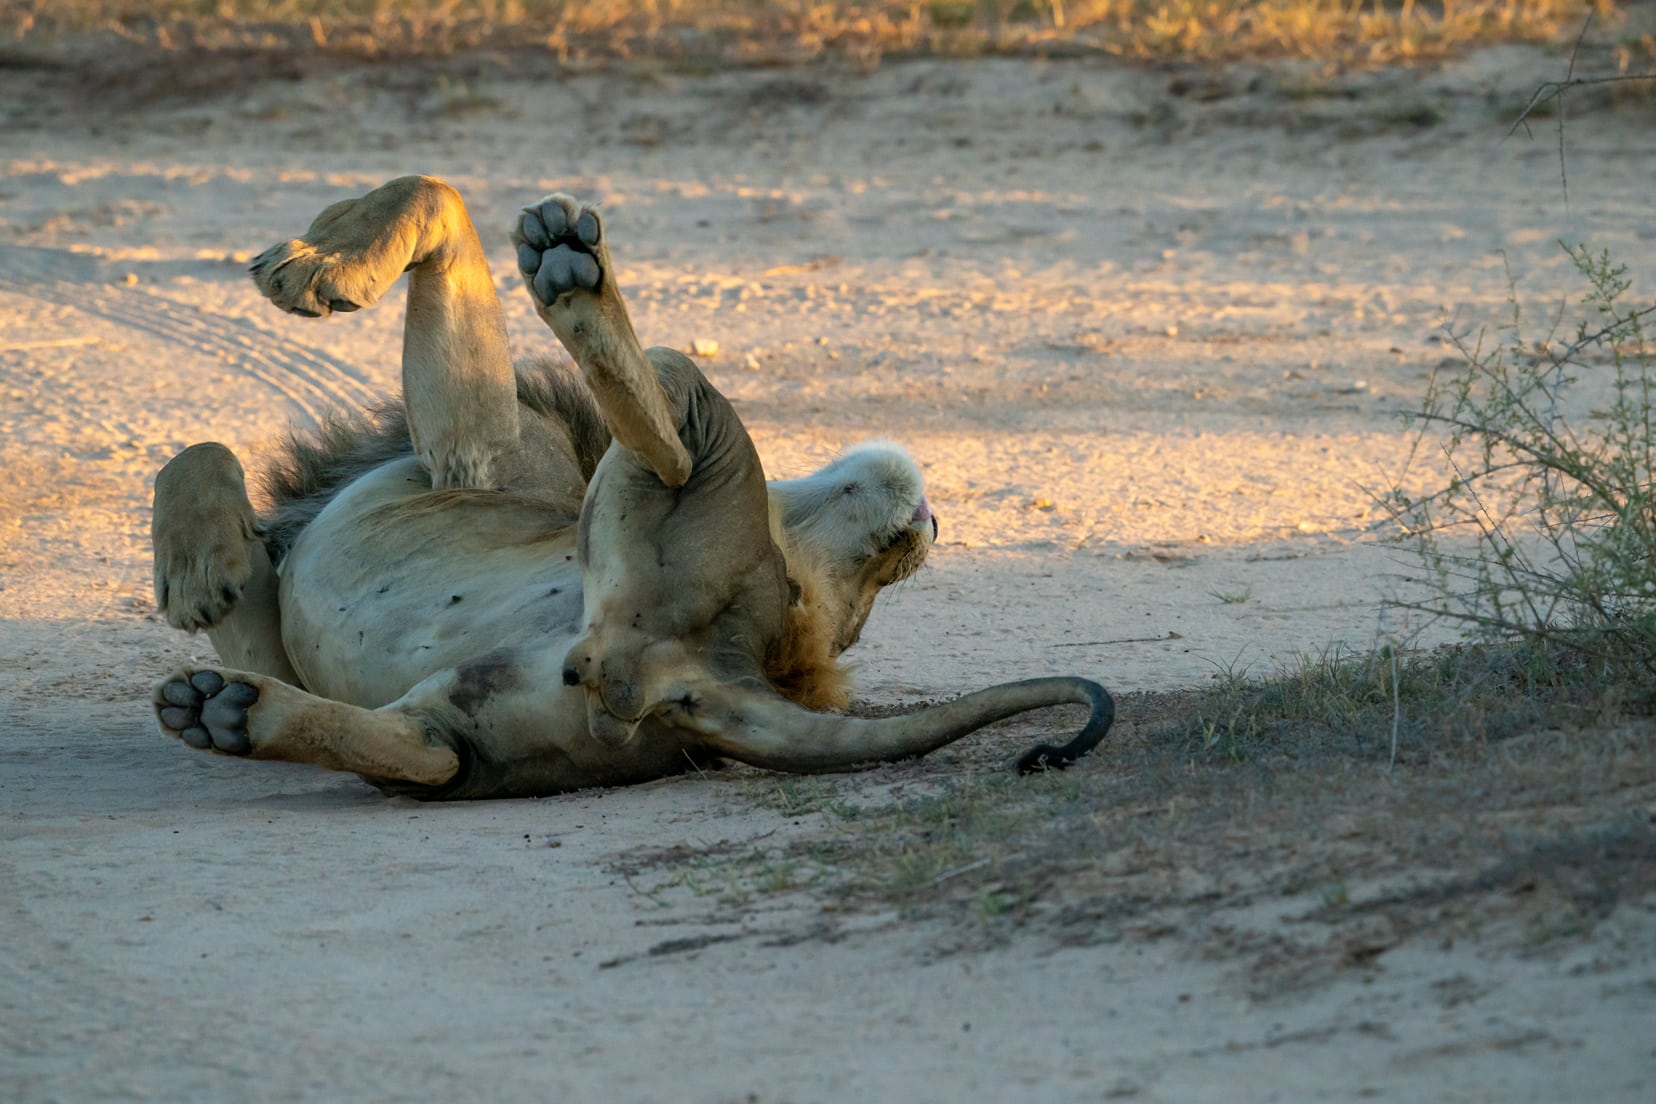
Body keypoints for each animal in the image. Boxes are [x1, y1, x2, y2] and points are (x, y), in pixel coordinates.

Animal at [152, 177, 1112, 797]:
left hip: (671, 427)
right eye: (858, 603)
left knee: (669, 427)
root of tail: (719, 667)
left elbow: (432, 192)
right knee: (427, 752)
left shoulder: (477, 451)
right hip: (478, 726)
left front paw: (313, 269)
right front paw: (206, 578)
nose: (918, 536)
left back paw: (570, 264)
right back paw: (229, 714)